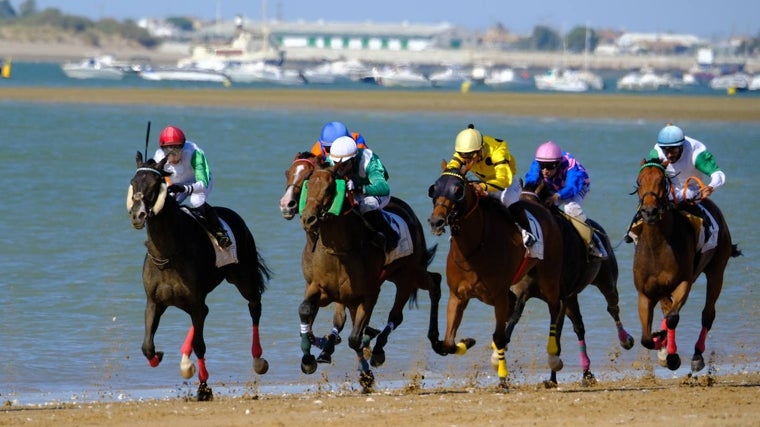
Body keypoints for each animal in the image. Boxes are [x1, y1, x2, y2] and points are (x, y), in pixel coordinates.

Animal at [129, 153, 272, 402]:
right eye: (133, 182)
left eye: (155, 185)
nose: (138, 214)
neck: (167, 255)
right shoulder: (155, 302)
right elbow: (147, 345)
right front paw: (159, 356)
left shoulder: (195, 303)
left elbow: (200, 345)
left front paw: (203, 388)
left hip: (243, 278)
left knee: (254, 306)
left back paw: (258, 359)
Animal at [296, 162, 440, 392]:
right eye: (307, 186)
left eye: (329, 189)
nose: (308, 218)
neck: (339, 251)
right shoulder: (319, 288)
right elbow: (306, 311)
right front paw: (309, 359)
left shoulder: (369, 293)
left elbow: (354, 338)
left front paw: (366, 368)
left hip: (409, 274)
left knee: (420, 295)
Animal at [428, 165, 564, 392]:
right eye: (434, 189)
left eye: (458, 190)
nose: (436, 221)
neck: (474, 249)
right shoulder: (458, 295)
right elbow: (448, 343)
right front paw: (467, 342)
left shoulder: (499, 294)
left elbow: (499, 336)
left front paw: (502, 377)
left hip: (549, 276)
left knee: (555, 307)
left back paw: (553, 356)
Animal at [516, 179, 636, 386]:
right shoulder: (528, 293)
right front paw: (552, 378)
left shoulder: (559, 298)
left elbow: (556, 336)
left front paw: (553, 375)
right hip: (572, 296)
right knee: (579, 327)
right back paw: (586, 372)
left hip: (607, 281)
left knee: (613, 307)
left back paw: (625, 340)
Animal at [632, 159, 740, 372]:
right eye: (639, 182)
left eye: (661, 181)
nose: (650, 212)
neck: (657, 247)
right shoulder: (645, 293)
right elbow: (646, 338)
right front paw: (661, 344)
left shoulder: (683, 282)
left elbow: (673, 318)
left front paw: (672, 355)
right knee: (667, 310)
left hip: (716, 270)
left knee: (707, 314)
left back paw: (697, 354)